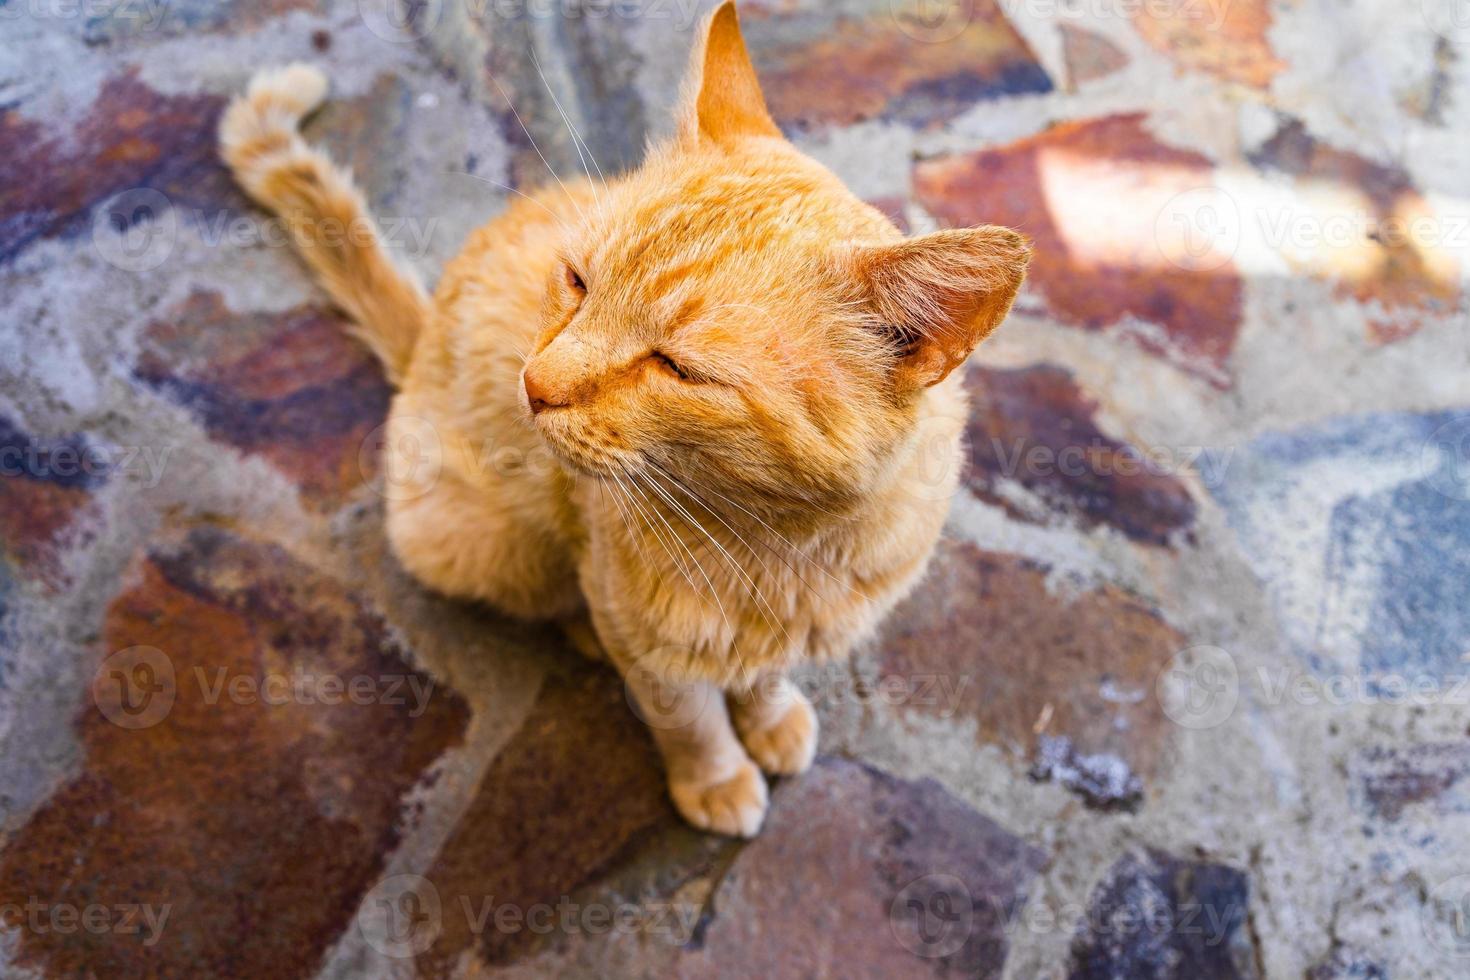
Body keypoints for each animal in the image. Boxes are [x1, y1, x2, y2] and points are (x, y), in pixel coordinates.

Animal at [223, 3, 1029, 840]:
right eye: (578, 282)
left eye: (675, 368)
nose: (534, 385)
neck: (777, 550)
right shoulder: (647, 641)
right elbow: (687, 717)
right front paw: (716, 778)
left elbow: (765, 676)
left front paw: (770, 719)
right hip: (479, 542)